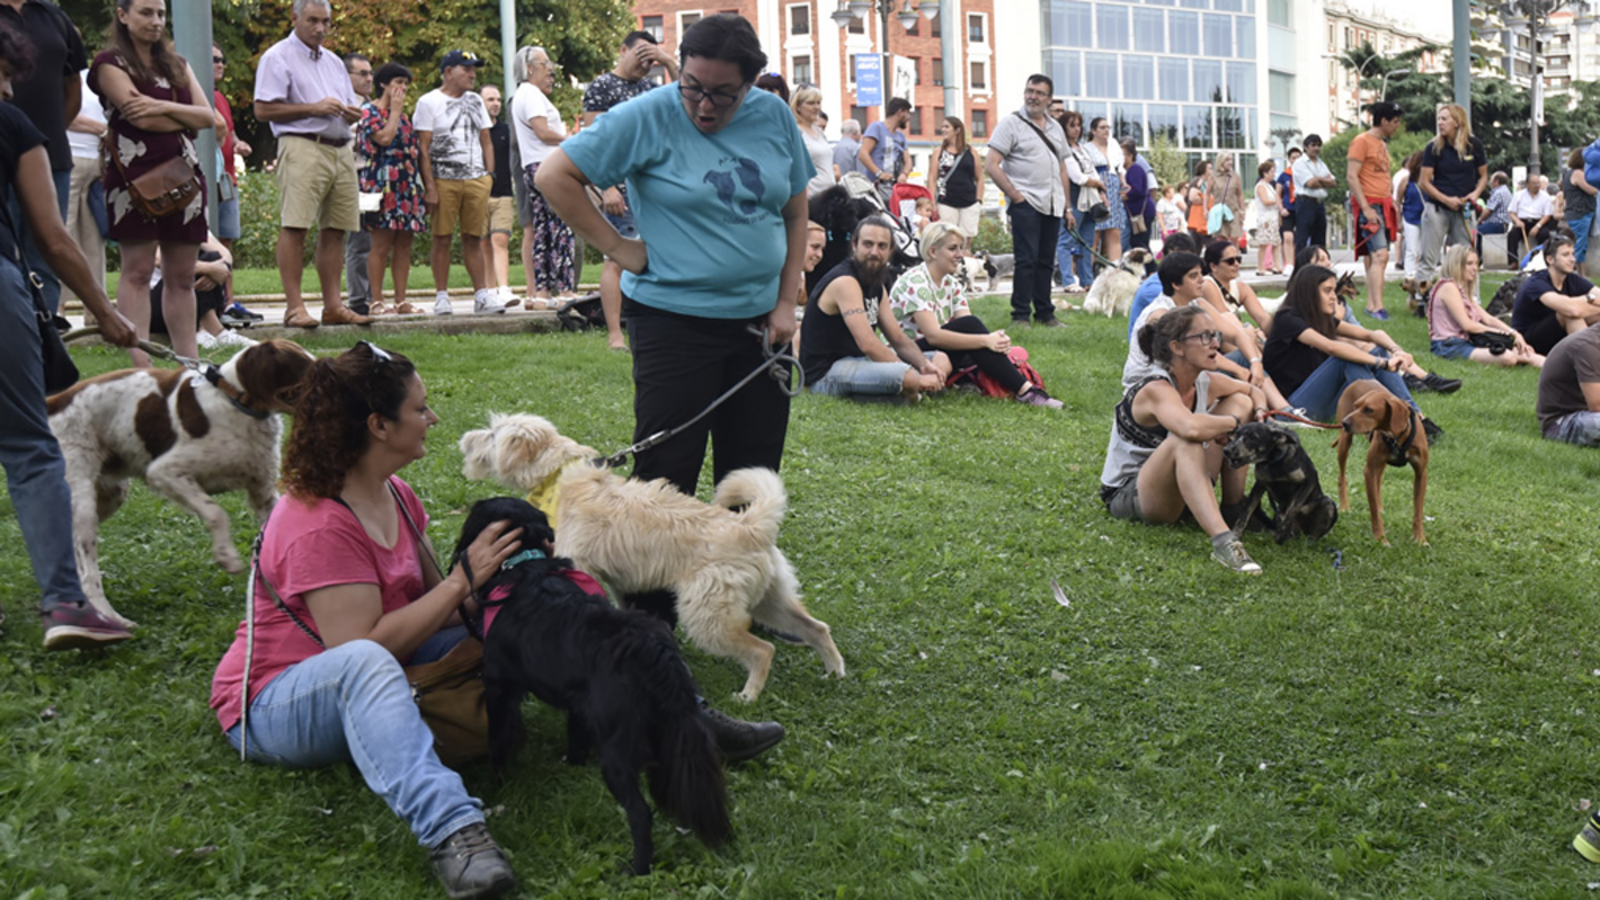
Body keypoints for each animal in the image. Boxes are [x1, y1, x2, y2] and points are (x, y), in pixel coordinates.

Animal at [46, 336, 315, 624]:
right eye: (306, 366)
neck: (236, 402)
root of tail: (54, 401)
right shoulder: (164, 471)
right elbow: (216, 512)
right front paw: (227, 557)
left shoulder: (261, 488)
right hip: (82, 495)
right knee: (88, 570)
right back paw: (110, 617)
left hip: (110, 494)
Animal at [454, 493, 732, 871]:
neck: (522, 567)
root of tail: (653, 651)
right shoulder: (578, 700)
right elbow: (575, 735)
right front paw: (572, 762)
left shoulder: (499, 688)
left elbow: (497, 739)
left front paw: (496, 782)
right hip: (669, 733)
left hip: (617, 751)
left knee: (640, 812)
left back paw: (637, 868)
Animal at [457, 413, 844, 701]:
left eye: (492, 435)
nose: (464, 439)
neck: (559, 476)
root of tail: (750, 525)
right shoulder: (616, 580)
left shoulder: (579, 566)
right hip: (770, 601)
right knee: (817, 628)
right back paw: (835, 673)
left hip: (708, 616)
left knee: (763, 650)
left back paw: (748, 696)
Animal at [1331, 377, 1433, 547]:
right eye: (1356, 406)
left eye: (1369, 410)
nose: (1344, 423)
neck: (1398, 437)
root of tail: (1359, 379)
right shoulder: (1369, 471)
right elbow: (1373, 512)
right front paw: (1380, 539)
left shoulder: (1421, 474)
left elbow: (1418, 511)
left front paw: (1419, 539)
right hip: (1345, 444)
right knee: (1342, 477)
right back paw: (1345, 505)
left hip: (1381, 463)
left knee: (1378, 481)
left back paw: (1380, 506)